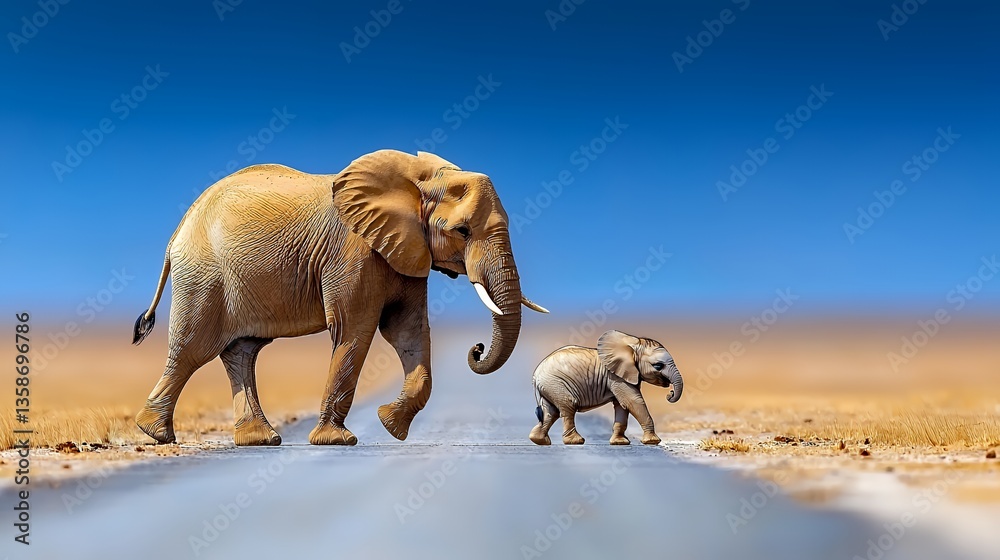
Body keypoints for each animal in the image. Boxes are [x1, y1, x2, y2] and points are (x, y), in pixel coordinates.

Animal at [131, 149, 547, 446]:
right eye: (462, 231)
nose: (476, 349)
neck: (418, 176)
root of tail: (178, 229)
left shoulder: (404, 250)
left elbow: (408, 332)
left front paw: (389, 425)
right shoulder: (354, 250)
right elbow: (354, 331)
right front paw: (337, 441)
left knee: (242, 350)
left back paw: (260, 440)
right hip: (204, 276)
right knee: (193, 347)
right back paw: (156, 434)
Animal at [528, 330, 683, 446]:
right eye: (658, 366)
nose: (670, 393)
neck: (633, 344)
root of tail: (535, 375)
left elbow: (622, 406)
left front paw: (620, 443)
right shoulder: (617, 378)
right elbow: (633, 402)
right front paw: (652, 441)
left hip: (550, 386)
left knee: (550, 412)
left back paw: (540, 441)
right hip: (556, 383)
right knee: (567, 407)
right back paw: (576, 441)